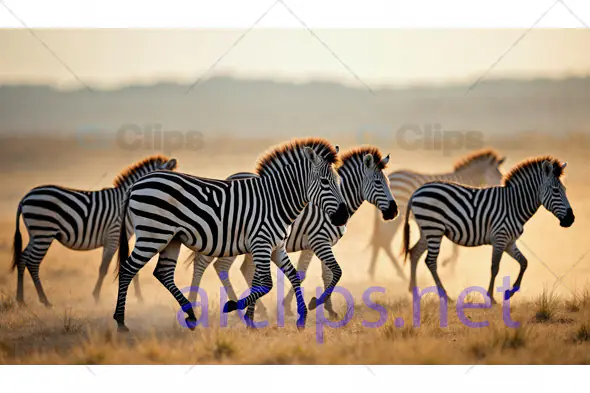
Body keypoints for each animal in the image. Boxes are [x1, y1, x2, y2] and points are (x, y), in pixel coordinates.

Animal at [10, 155, 178, 304]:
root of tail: (25, 197)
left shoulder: (118, 239)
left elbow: (129, 267)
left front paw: (139, 298)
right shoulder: (113, 235)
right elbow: (104, 268)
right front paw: (96, 297)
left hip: (35, 234)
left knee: (23, 259)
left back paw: (20, 299)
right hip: (43, 232)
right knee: (33, 263)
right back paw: (45, 301)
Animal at [113, 138, 350, 330]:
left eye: (340, 181)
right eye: (324, 182)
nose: (343, 216)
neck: (276, 201)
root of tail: (137, 184)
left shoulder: (276, 247)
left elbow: (292, 276)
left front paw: (301, 317)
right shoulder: (261, 243)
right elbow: (266, 283)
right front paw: (237, 309)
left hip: (171, 238)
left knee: (162, 273)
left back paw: (190, 315)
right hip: (153, 235)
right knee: (127, 269)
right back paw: (121, 322)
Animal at [188, 145, 402, 316]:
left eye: (389, 183)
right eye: (378, 183)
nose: (394, 211)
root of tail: (229, 177)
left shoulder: (320, 244)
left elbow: (321, 274)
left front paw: (328, 309)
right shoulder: (318, 240)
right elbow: (323, 273)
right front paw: (308, 304)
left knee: (241, 268)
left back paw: (257, 309)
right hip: (227, 239)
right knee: (212, 265)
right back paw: (208, 306)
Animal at [368, 147, 506, 278]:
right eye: (499, 176)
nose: (502, 190)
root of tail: (391, 176)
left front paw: (450, 267)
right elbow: (456, 247)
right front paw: (449, 267)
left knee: (380, 241)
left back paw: (374, 273)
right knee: (384, 241)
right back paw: (399, 274)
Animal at [404, 155, 576, 302]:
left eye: (565, 189)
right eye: (555, 190)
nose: (571, 219)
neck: (514, 205)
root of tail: (417, 191)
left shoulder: (509, 242)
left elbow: (524, 263)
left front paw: (510, 292)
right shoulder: (500, 238)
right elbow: (495, 267)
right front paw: (491, 297)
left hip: (427, 230)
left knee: (414, 253)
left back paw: (414, 292)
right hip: (433, 229)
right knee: (430, 261)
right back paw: (445, 296)